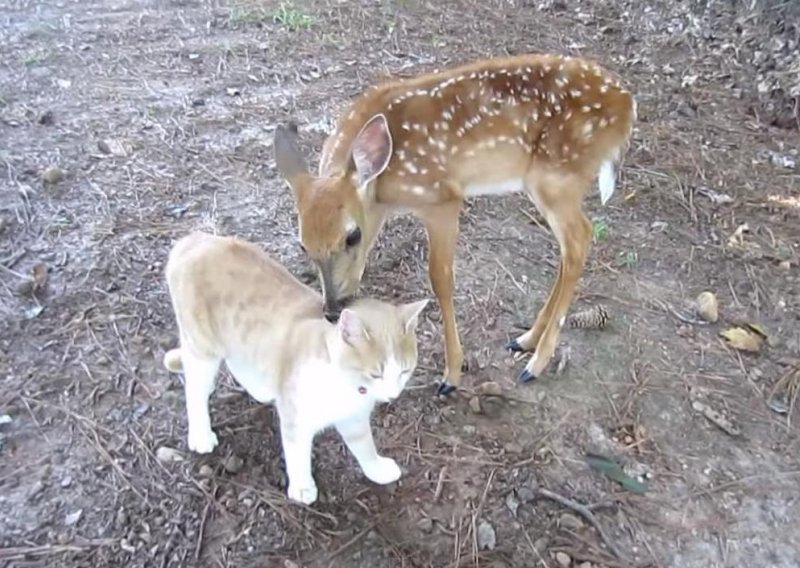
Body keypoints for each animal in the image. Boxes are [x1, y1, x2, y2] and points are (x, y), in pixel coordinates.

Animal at [159, 231, 428, 506]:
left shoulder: (354, 419)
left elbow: (364, 445)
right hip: (203, 349)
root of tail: (196, 238)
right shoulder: (296, 418)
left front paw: (377, 469)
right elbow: (297, 453)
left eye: (405, 370)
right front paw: (302, 487)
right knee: (195, 391)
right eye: (376, 373)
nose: (392, 395)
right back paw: (201, 435)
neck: (344, 384)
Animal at [272, 54, 636, 394]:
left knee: (579, 240)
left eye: (353, 236)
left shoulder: (441, 198)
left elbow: (441, 280)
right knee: (570, 247)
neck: (385, 186)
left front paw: (452, 375)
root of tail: (627, 106)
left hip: (556, 177)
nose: (332, 309)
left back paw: (536, 363)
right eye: (303, 245)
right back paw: (526, 339)